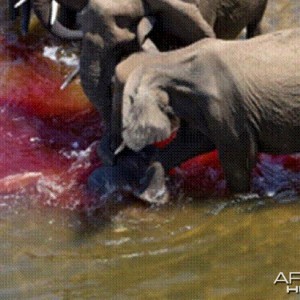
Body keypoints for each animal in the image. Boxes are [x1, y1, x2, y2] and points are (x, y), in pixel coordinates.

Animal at [108, 29, 300, 196]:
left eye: (114, 88)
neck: (170, 58)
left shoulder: (227, 109)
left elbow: (238, 163)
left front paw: (241, 198)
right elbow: (188, 143)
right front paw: (151, 197)